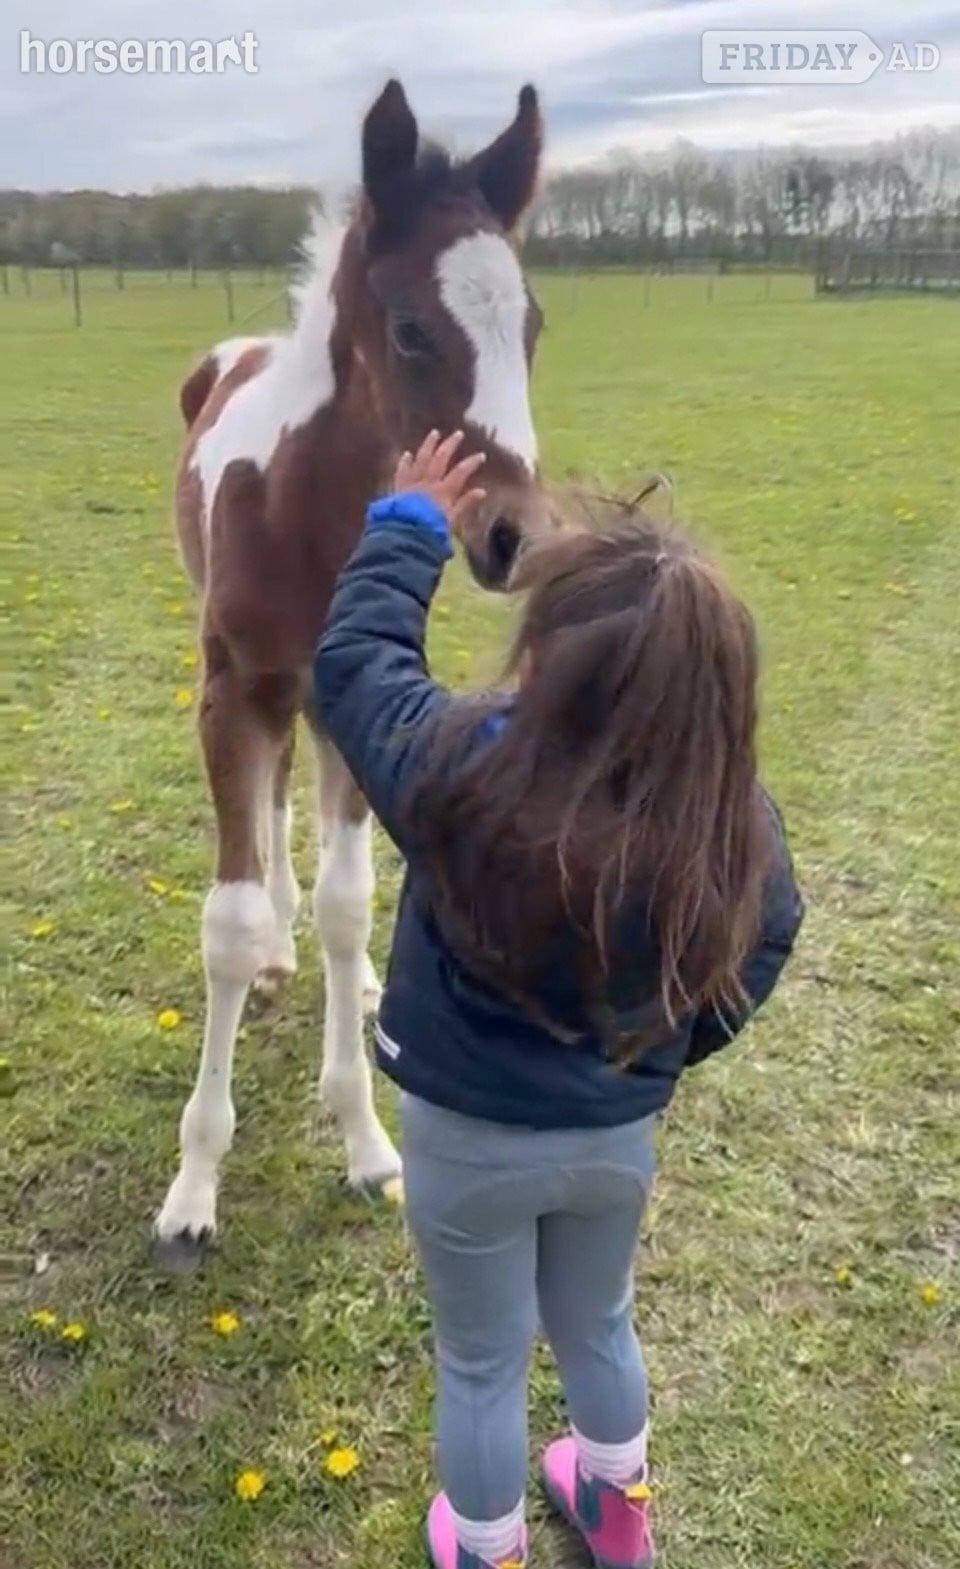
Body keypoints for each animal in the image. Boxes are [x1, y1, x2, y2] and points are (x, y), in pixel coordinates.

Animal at [154, 79, 550, 1268]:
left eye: (531, 327)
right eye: (412, 329)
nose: (516, 536)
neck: (304, 512)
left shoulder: (350, 699)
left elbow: (347, 902)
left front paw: (367, 1141)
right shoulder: (229, 697)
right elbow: (228, 924)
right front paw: (193, 1188)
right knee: (271, 806)